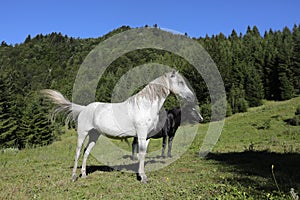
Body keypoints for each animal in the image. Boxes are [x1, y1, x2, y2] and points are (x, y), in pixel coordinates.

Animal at [42, 71, 193, 184]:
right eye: (180, 82)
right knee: (78, 152)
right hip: (82, 134)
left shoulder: (147, 137)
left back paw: (84, 175)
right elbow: (141, 153)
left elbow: (142, 154)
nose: (191, 96)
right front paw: (143, 178)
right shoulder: (141, 135)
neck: (145, 106)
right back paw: (73, 177)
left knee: (86, 152)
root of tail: (84, 109)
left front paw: (142, 174)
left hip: (94, 135)